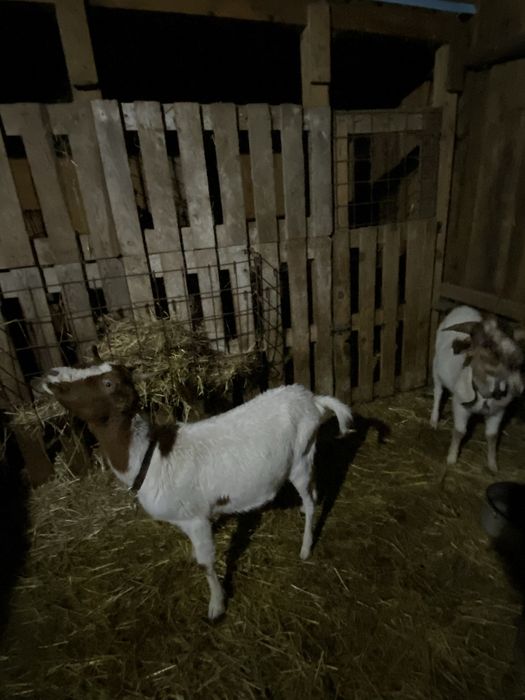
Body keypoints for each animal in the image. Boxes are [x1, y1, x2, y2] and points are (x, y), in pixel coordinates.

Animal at [38, 360, 353, 619]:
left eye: (108, 383)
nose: (51, 374)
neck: (150, 457)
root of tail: (313, 399)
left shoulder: (196, 518)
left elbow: (206, 563)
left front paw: (217, 606)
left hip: (301, 456)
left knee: (311, 500)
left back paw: (305, 547)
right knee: (312, 493)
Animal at [431, 305, 524, 472]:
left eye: (512, 339)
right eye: (487, 345)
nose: (518, 358)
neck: (485, 394)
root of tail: (463, 307)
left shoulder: (498, 412)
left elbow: (492, 436)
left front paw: (493, 465)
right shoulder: (461, 406)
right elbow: (460, 432)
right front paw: (451, 458)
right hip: (436, 369)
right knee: (438, 392)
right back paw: (434, 420)